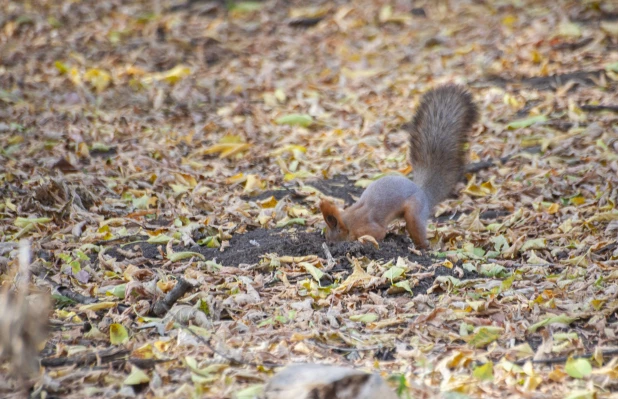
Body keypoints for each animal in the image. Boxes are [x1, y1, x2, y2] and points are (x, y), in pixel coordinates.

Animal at [318, 84, 476, 248]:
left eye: (333, 237)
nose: (328, 243)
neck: (350, 221)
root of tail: (423, 194)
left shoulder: (372, 228)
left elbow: (378, 234)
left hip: (414, 212)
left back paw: (425, 246)